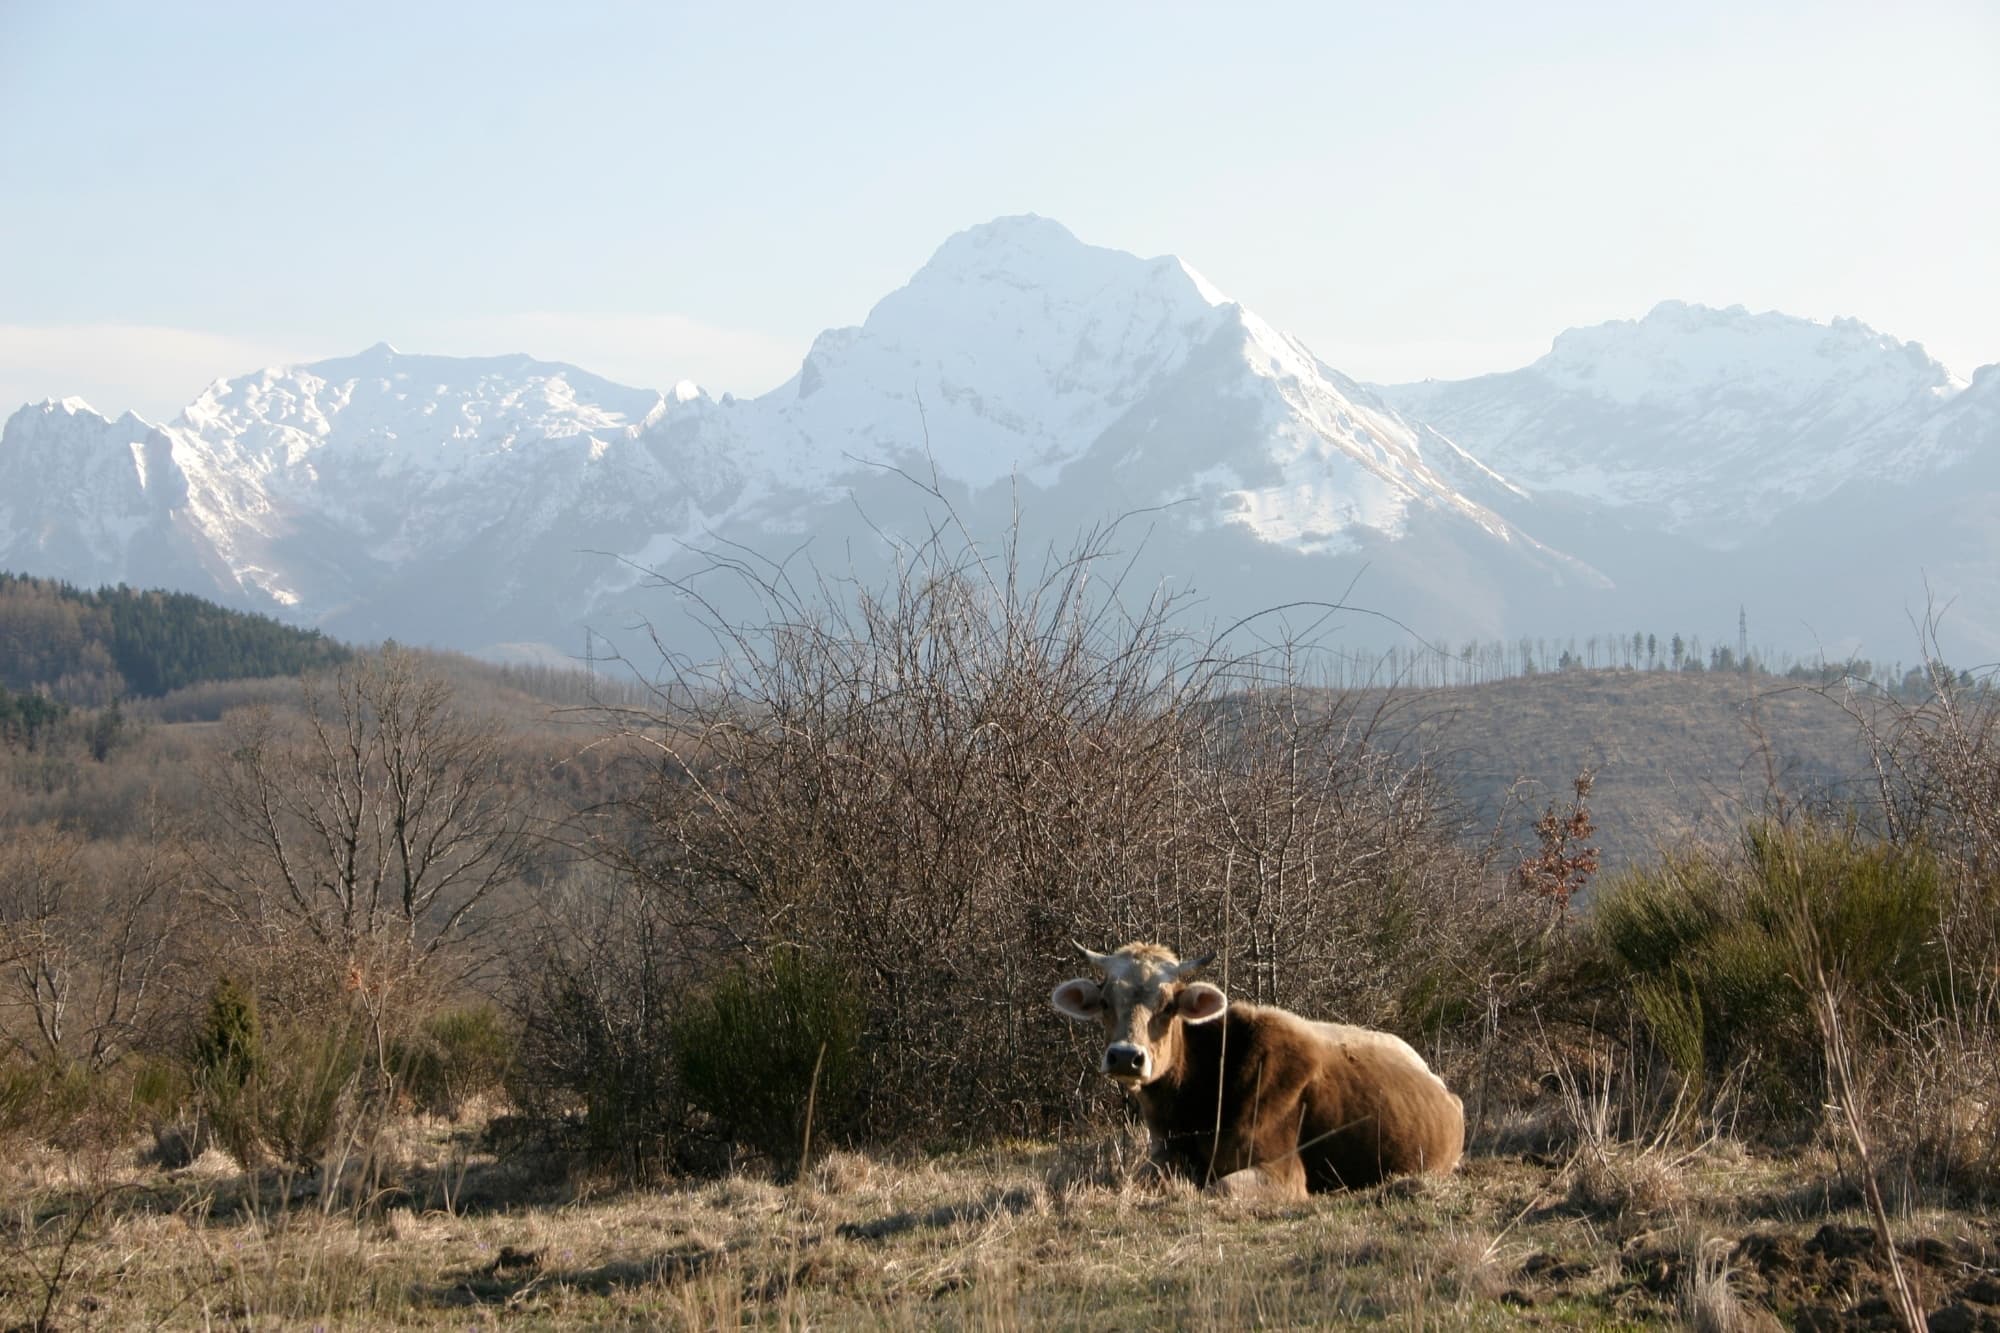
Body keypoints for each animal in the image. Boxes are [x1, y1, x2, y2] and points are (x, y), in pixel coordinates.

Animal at [1051, 941, 1464, 1198]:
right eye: (1106, 1001)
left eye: (1168, 1005)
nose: (1125, 1056)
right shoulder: (1163, 1154)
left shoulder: (1282, 1171)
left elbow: (1220, 1188)